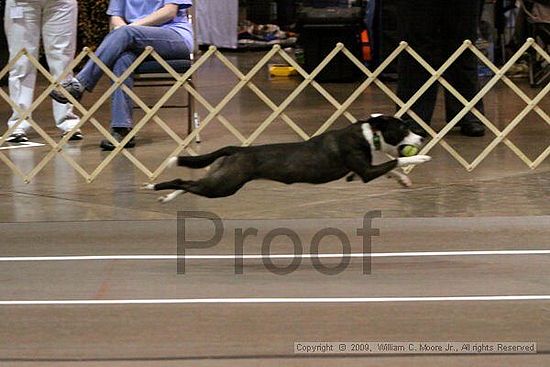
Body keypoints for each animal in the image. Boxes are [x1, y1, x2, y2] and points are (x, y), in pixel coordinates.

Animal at [144, 114, 434, 204]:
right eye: (403, 128)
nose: (422, 138)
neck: (368, 134)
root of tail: (236, 149)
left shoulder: (361, 171)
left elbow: (391, 168)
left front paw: (404, 181)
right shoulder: (365, 172)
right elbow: (394, 162)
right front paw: (421, 158)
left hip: (220, 178)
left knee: (188, 184)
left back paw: (165, 196)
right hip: (225, 185)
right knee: (184, 182)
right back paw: (154, 186)